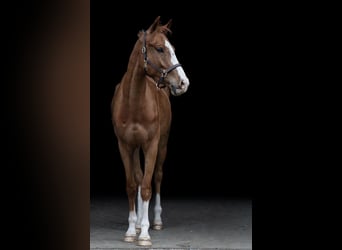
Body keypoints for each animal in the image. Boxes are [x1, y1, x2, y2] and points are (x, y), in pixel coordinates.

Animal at [111, 16, 190, 246]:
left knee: (156, 177)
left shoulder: (152, 145)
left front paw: (145, 234)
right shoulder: (125, 145)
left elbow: (147, 186)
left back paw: (155, 221)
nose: (184, 83)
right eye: (160, 49)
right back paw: (137, 223)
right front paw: (131, 230)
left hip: (162, 145)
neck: (133, 102)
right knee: (138, 177)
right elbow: (132, 184)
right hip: (136, 147)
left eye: (173, 48)